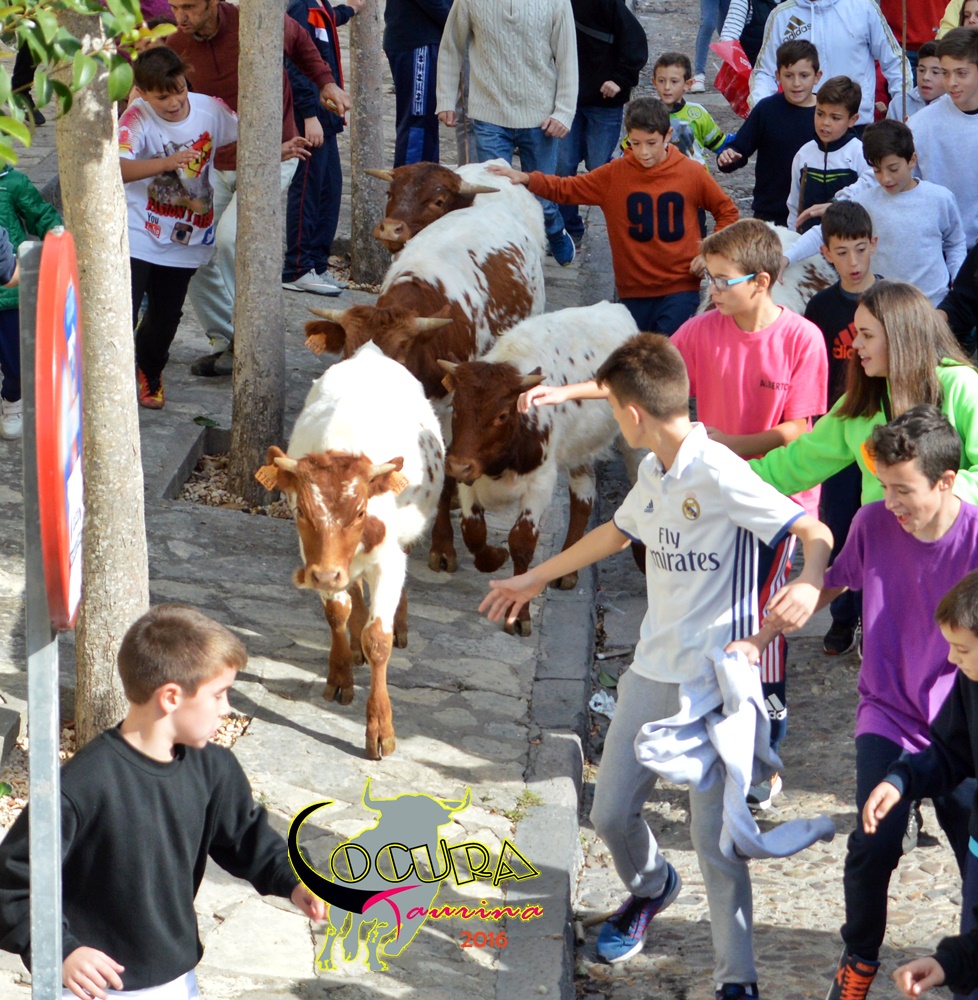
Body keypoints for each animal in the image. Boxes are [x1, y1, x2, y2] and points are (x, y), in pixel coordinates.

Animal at [257, 343, 444, 759]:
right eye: (300, 510)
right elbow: (337, 612)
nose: (328, 574)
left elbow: (379, 638)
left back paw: (399, 624)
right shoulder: (314, 560)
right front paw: (341, 673)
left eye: (360, 511)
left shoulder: (387, 561)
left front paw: (380, 727)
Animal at [438, 301, 639, 636]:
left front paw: (518, 614)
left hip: (630, 441)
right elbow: (473, 531)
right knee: (583, 498)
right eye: (455, 407)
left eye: (502, 415)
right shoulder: (470, 477)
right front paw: (494, 557)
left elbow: (521, 542)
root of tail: (614, 306)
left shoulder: (540, 483)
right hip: (579, 450)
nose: (457, 465)